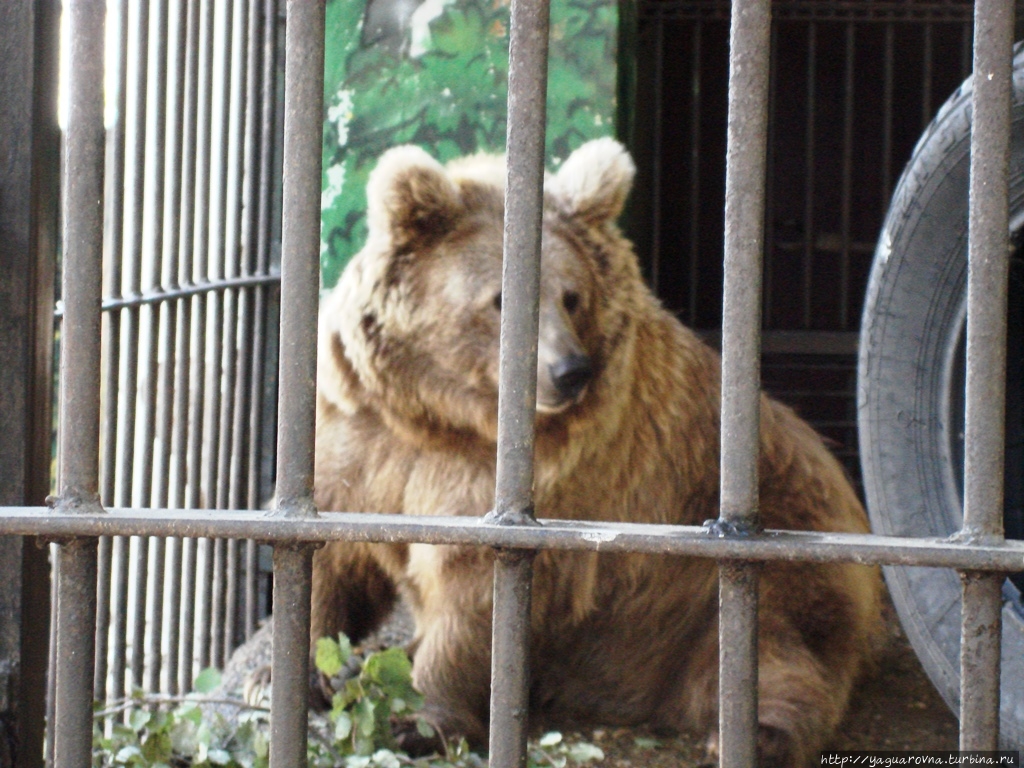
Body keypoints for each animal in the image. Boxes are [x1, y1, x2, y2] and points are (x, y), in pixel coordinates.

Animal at [311, 140, 880, 768]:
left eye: (571, 296)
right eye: (502, 299)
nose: (570, 371)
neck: (445, 413)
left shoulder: (527, 482)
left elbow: (472, 594)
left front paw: (419, 717)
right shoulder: (365, 435)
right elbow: (332, 552)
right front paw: (300, 672)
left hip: (762, 557)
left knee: (776, 648)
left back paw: (755, 734)